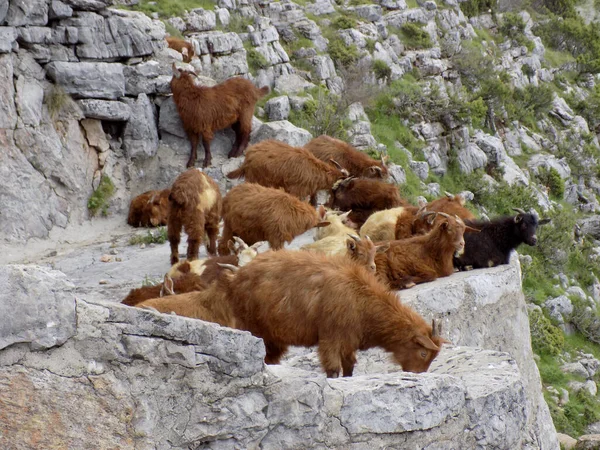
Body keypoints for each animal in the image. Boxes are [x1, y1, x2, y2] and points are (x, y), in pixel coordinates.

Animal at [227, 251, 448, 378]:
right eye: (423, 353)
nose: (417, 374)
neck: (360, 299)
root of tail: (236, 276)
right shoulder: (331, 338)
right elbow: (333, 370)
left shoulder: (348, 342)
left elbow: (349, 368)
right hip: (252, 328)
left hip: (273, 339)